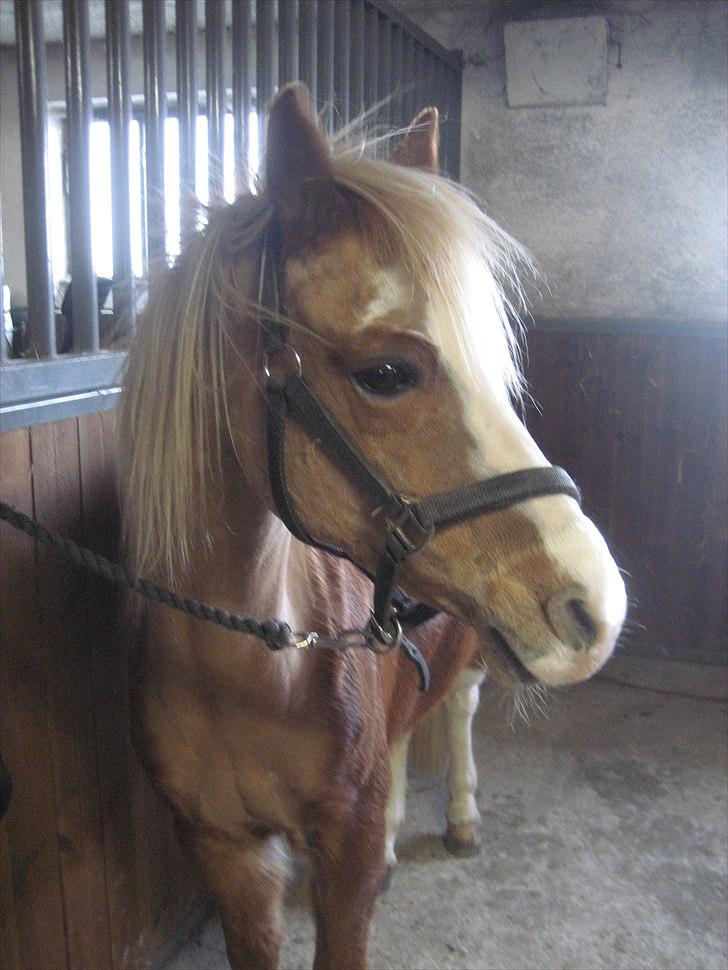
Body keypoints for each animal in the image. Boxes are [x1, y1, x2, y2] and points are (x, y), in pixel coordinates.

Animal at [118, 85, 624, 968]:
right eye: (385, 373)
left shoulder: (341, 856)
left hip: (470, 649)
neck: (244, 667)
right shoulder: (229, 853)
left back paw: (460, 818)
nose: (594, 607)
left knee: (456, 710)